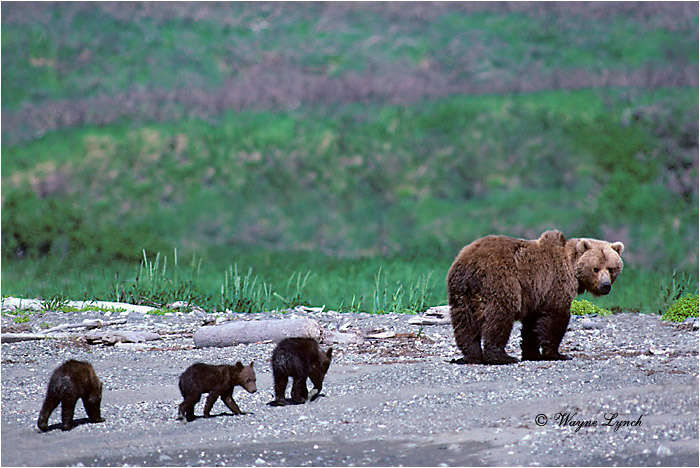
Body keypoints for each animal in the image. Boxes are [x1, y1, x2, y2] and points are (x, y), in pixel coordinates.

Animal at [447, 230, 624, 365]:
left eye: (611, 268)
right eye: (595, 268)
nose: (605, 285)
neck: (571, 267)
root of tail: (470, 265)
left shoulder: (536, 294)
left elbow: (531, 325)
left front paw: (532, 354)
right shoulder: (554, 284)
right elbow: (555, 317)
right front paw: (557, 354)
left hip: (461, 292)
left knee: (465, 323)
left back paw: (471, 356)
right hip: (499, 282)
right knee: (499, 317)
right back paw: (502, 357)